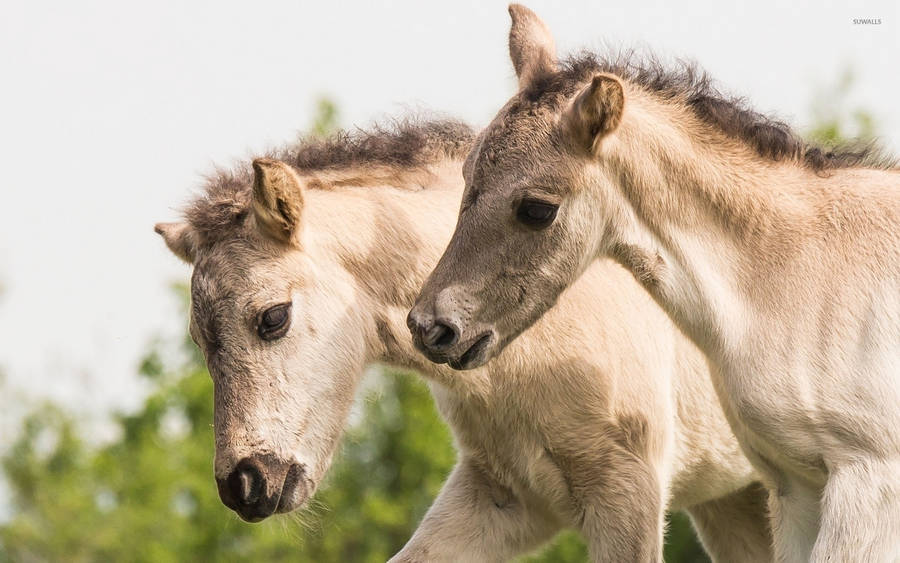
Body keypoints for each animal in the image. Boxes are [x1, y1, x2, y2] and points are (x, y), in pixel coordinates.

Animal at [408, 5, 900, 561]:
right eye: (466, 176)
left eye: (536, 209)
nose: (431, 327)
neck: (797, 275)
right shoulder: (795, 487)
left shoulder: (869, 479)